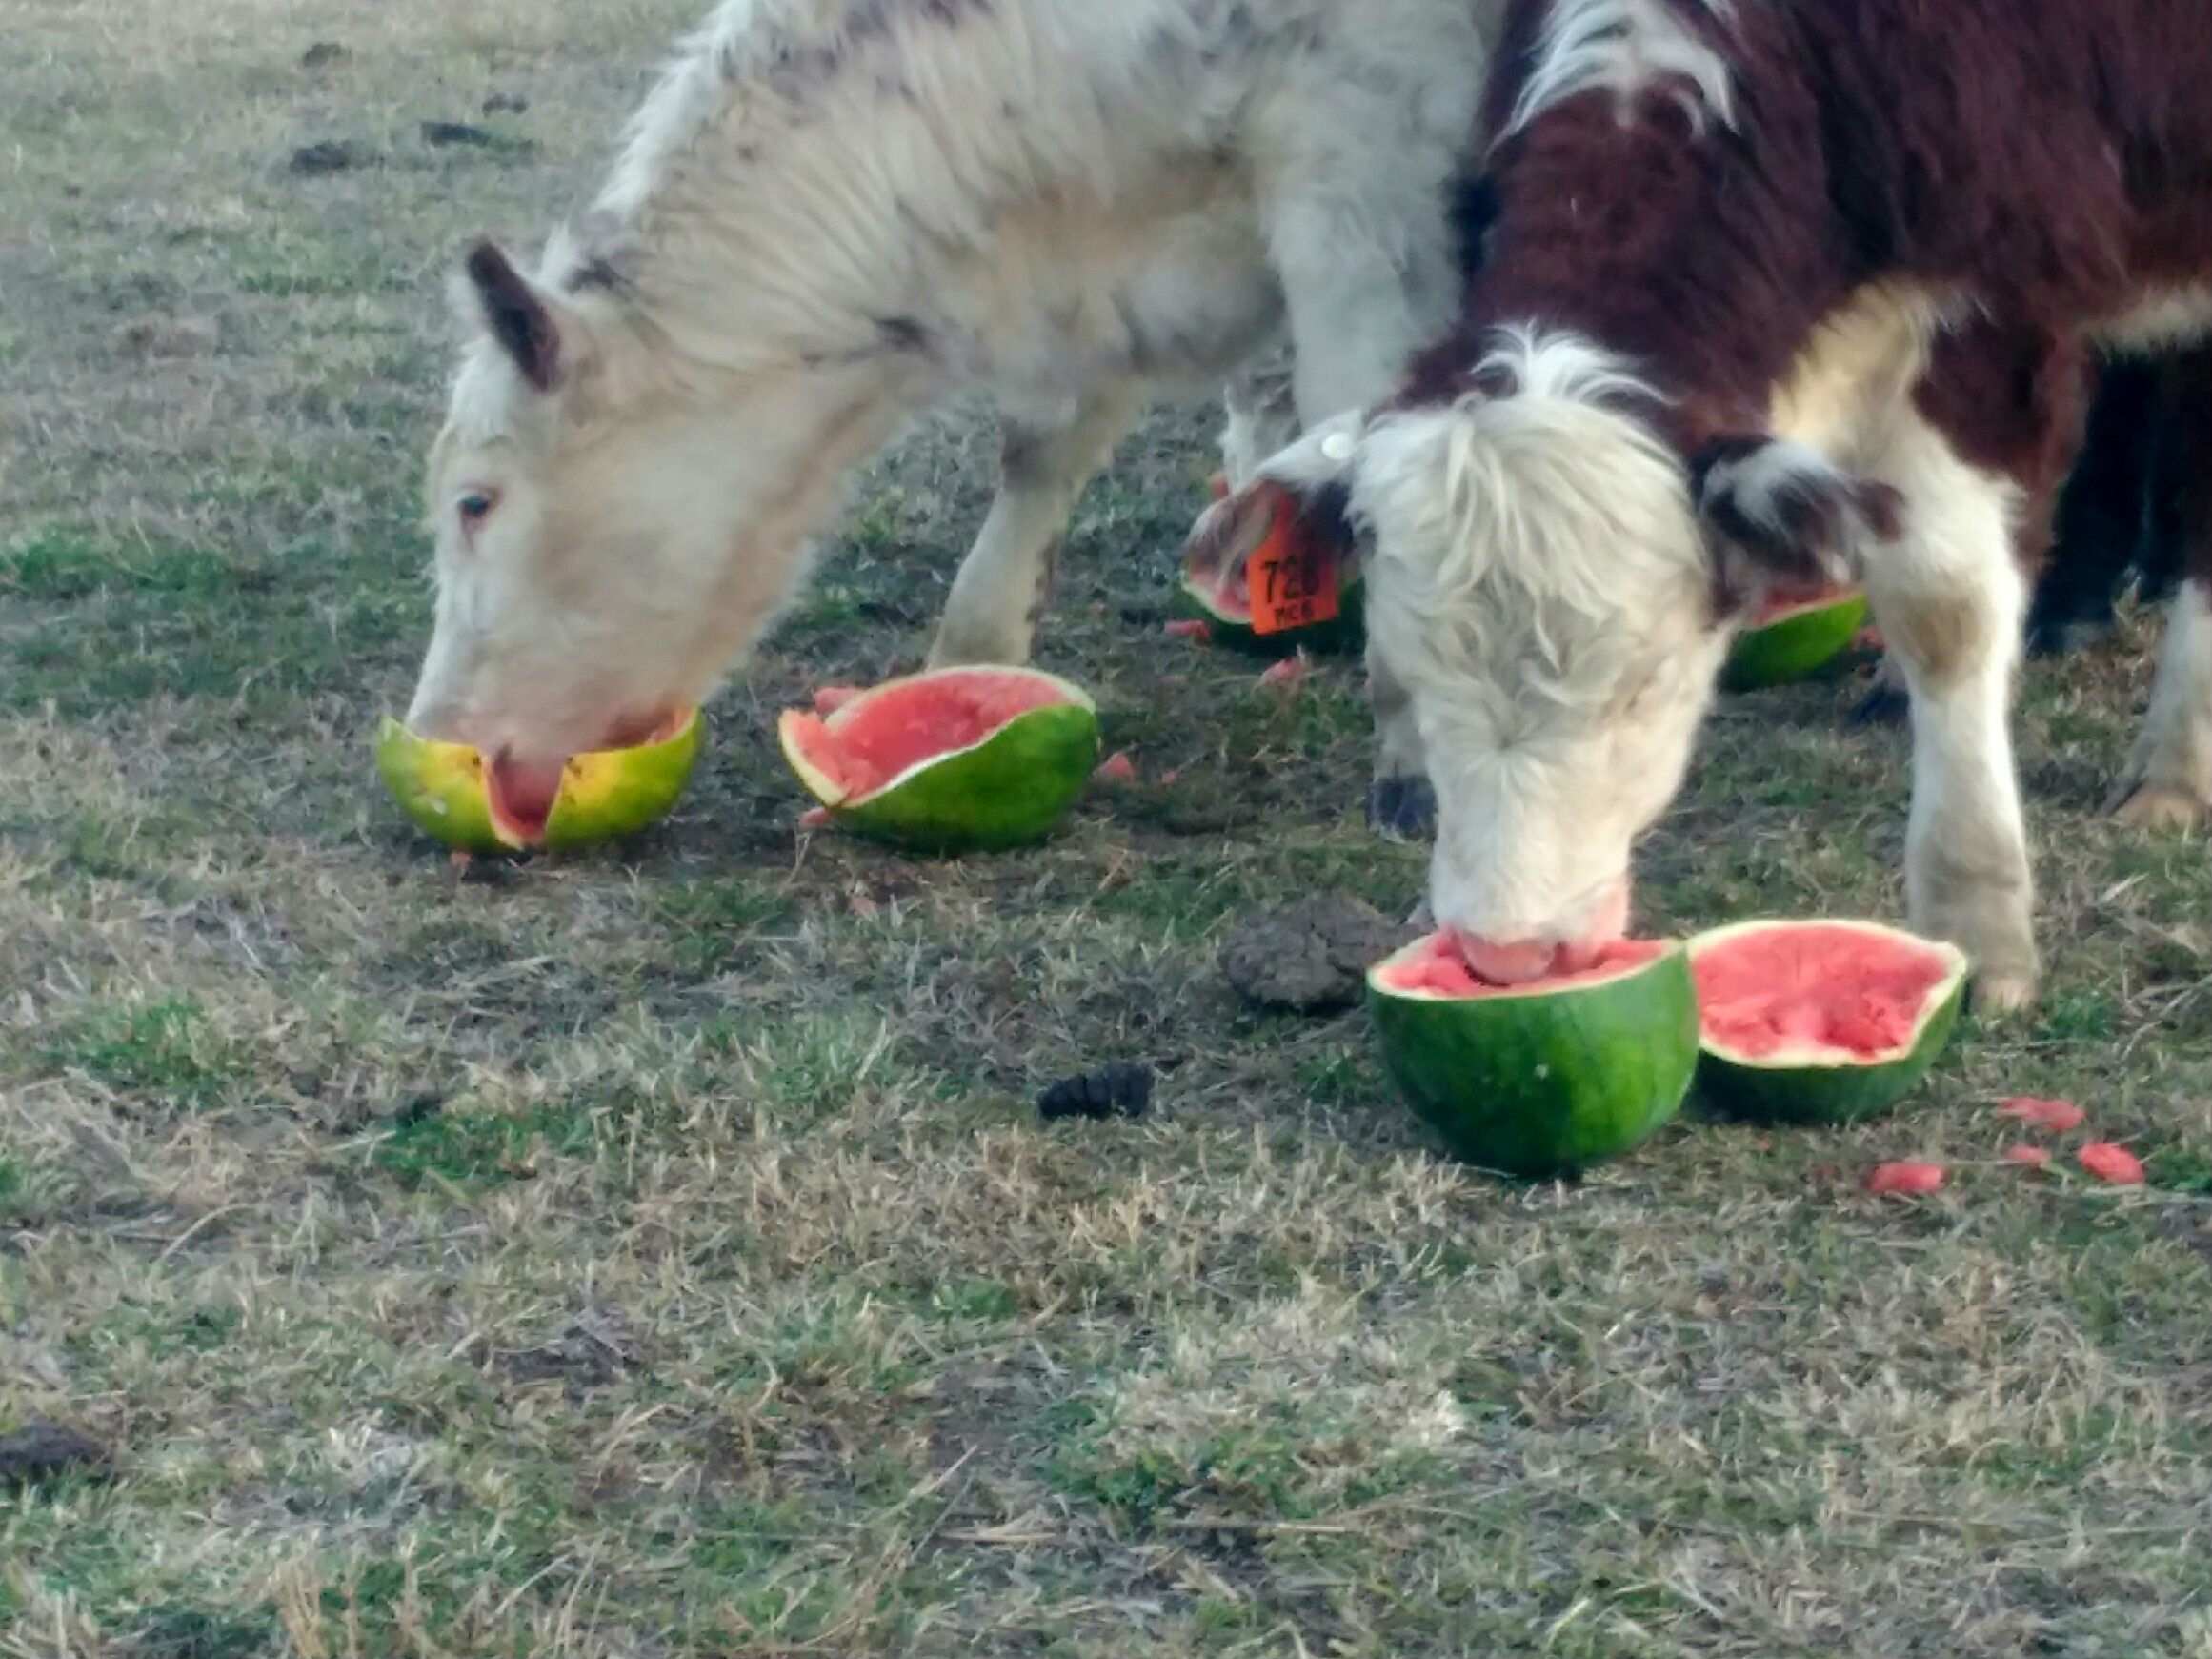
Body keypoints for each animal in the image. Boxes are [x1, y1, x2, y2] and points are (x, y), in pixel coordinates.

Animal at [400, 0, 1503, 843]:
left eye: (474, 502)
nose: (439, 736)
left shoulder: (1362, 180)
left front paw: (1415, 752)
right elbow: (1041, 454)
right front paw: (971, 657)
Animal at [1187, 0, 2212, 1013]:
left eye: (1646, 684)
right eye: (1406, 671)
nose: (1508, 954)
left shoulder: (1991, 321)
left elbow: (1945, 613)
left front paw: (1976, 924)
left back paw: (2169, 764)